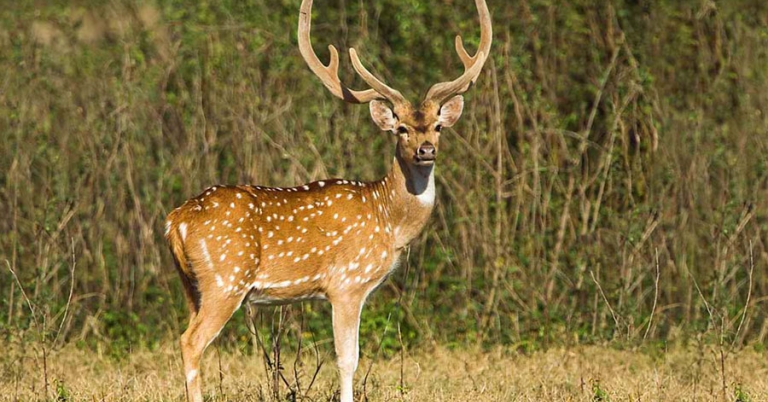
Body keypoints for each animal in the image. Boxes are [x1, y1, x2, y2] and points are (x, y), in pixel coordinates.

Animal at [164, 0, 491, 401]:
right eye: (401, 129)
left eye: (438, 126)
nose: (426, 150)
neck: (389, 219)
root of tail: (174, 221)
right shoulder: (347, 284)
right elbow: (348, 359)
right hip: (225, 279)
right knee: (191, 341)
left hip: (191, 285)